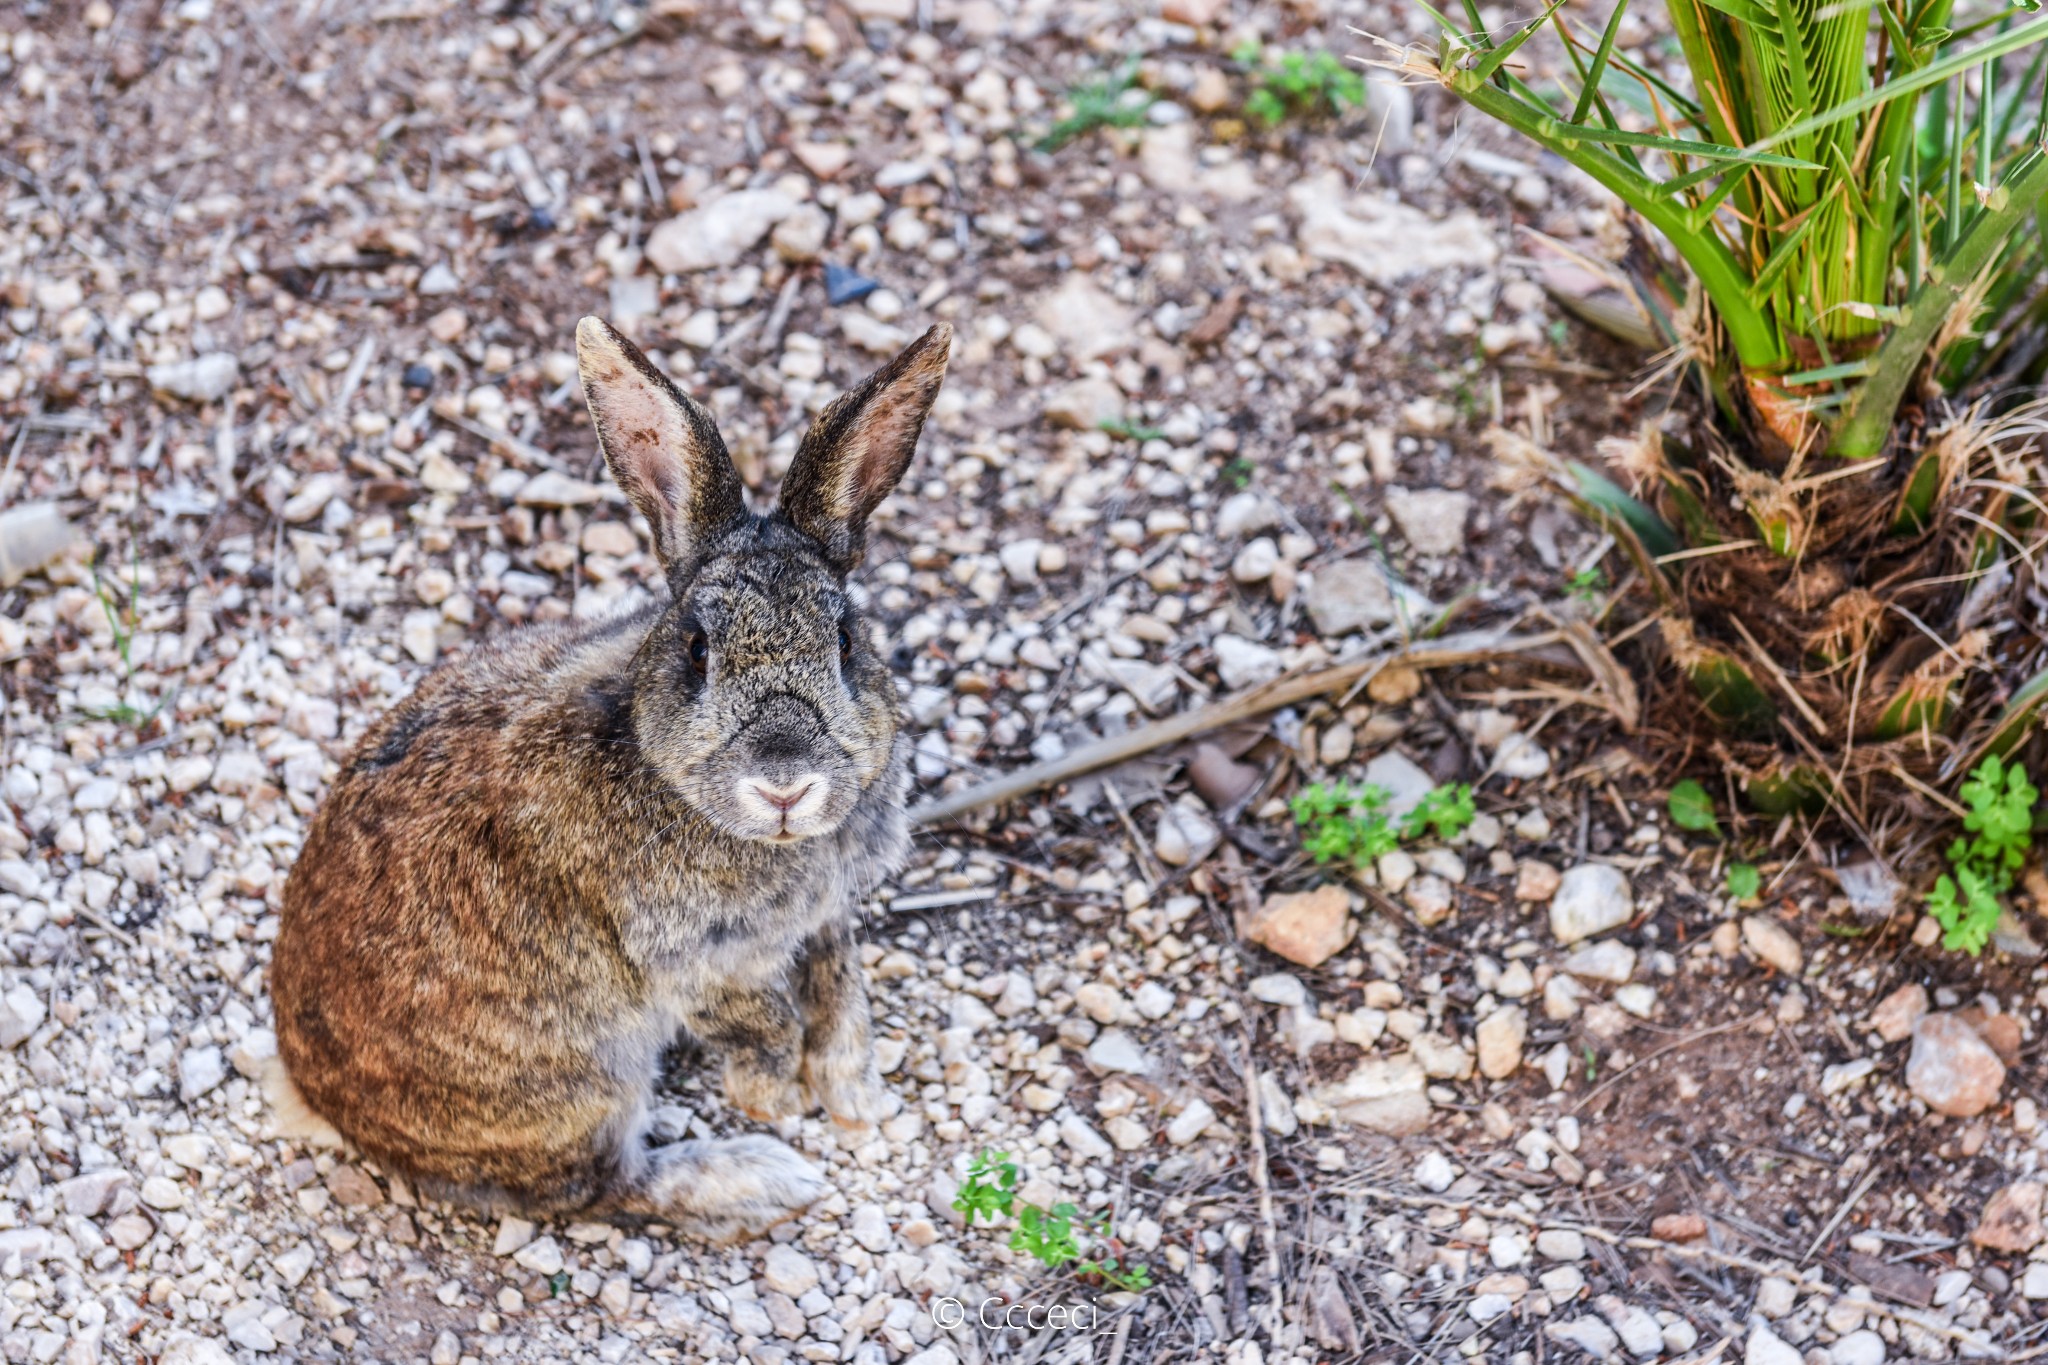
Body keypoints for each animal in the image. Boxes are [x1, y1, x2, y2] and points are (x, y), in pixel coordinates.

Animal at [268, 315, 954, 1244]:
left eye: (846, 641)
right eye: (698, 650)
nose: (785, 781)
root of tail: (333, 1107)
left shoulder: (823, 916)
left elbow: (840, 984)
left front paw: (856, 1094)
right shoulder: (691, 965)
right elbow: (764, 1022)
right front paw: (772, 1100)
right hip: (580, 1082)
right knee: (597, 1188)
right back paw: (763, 1179)